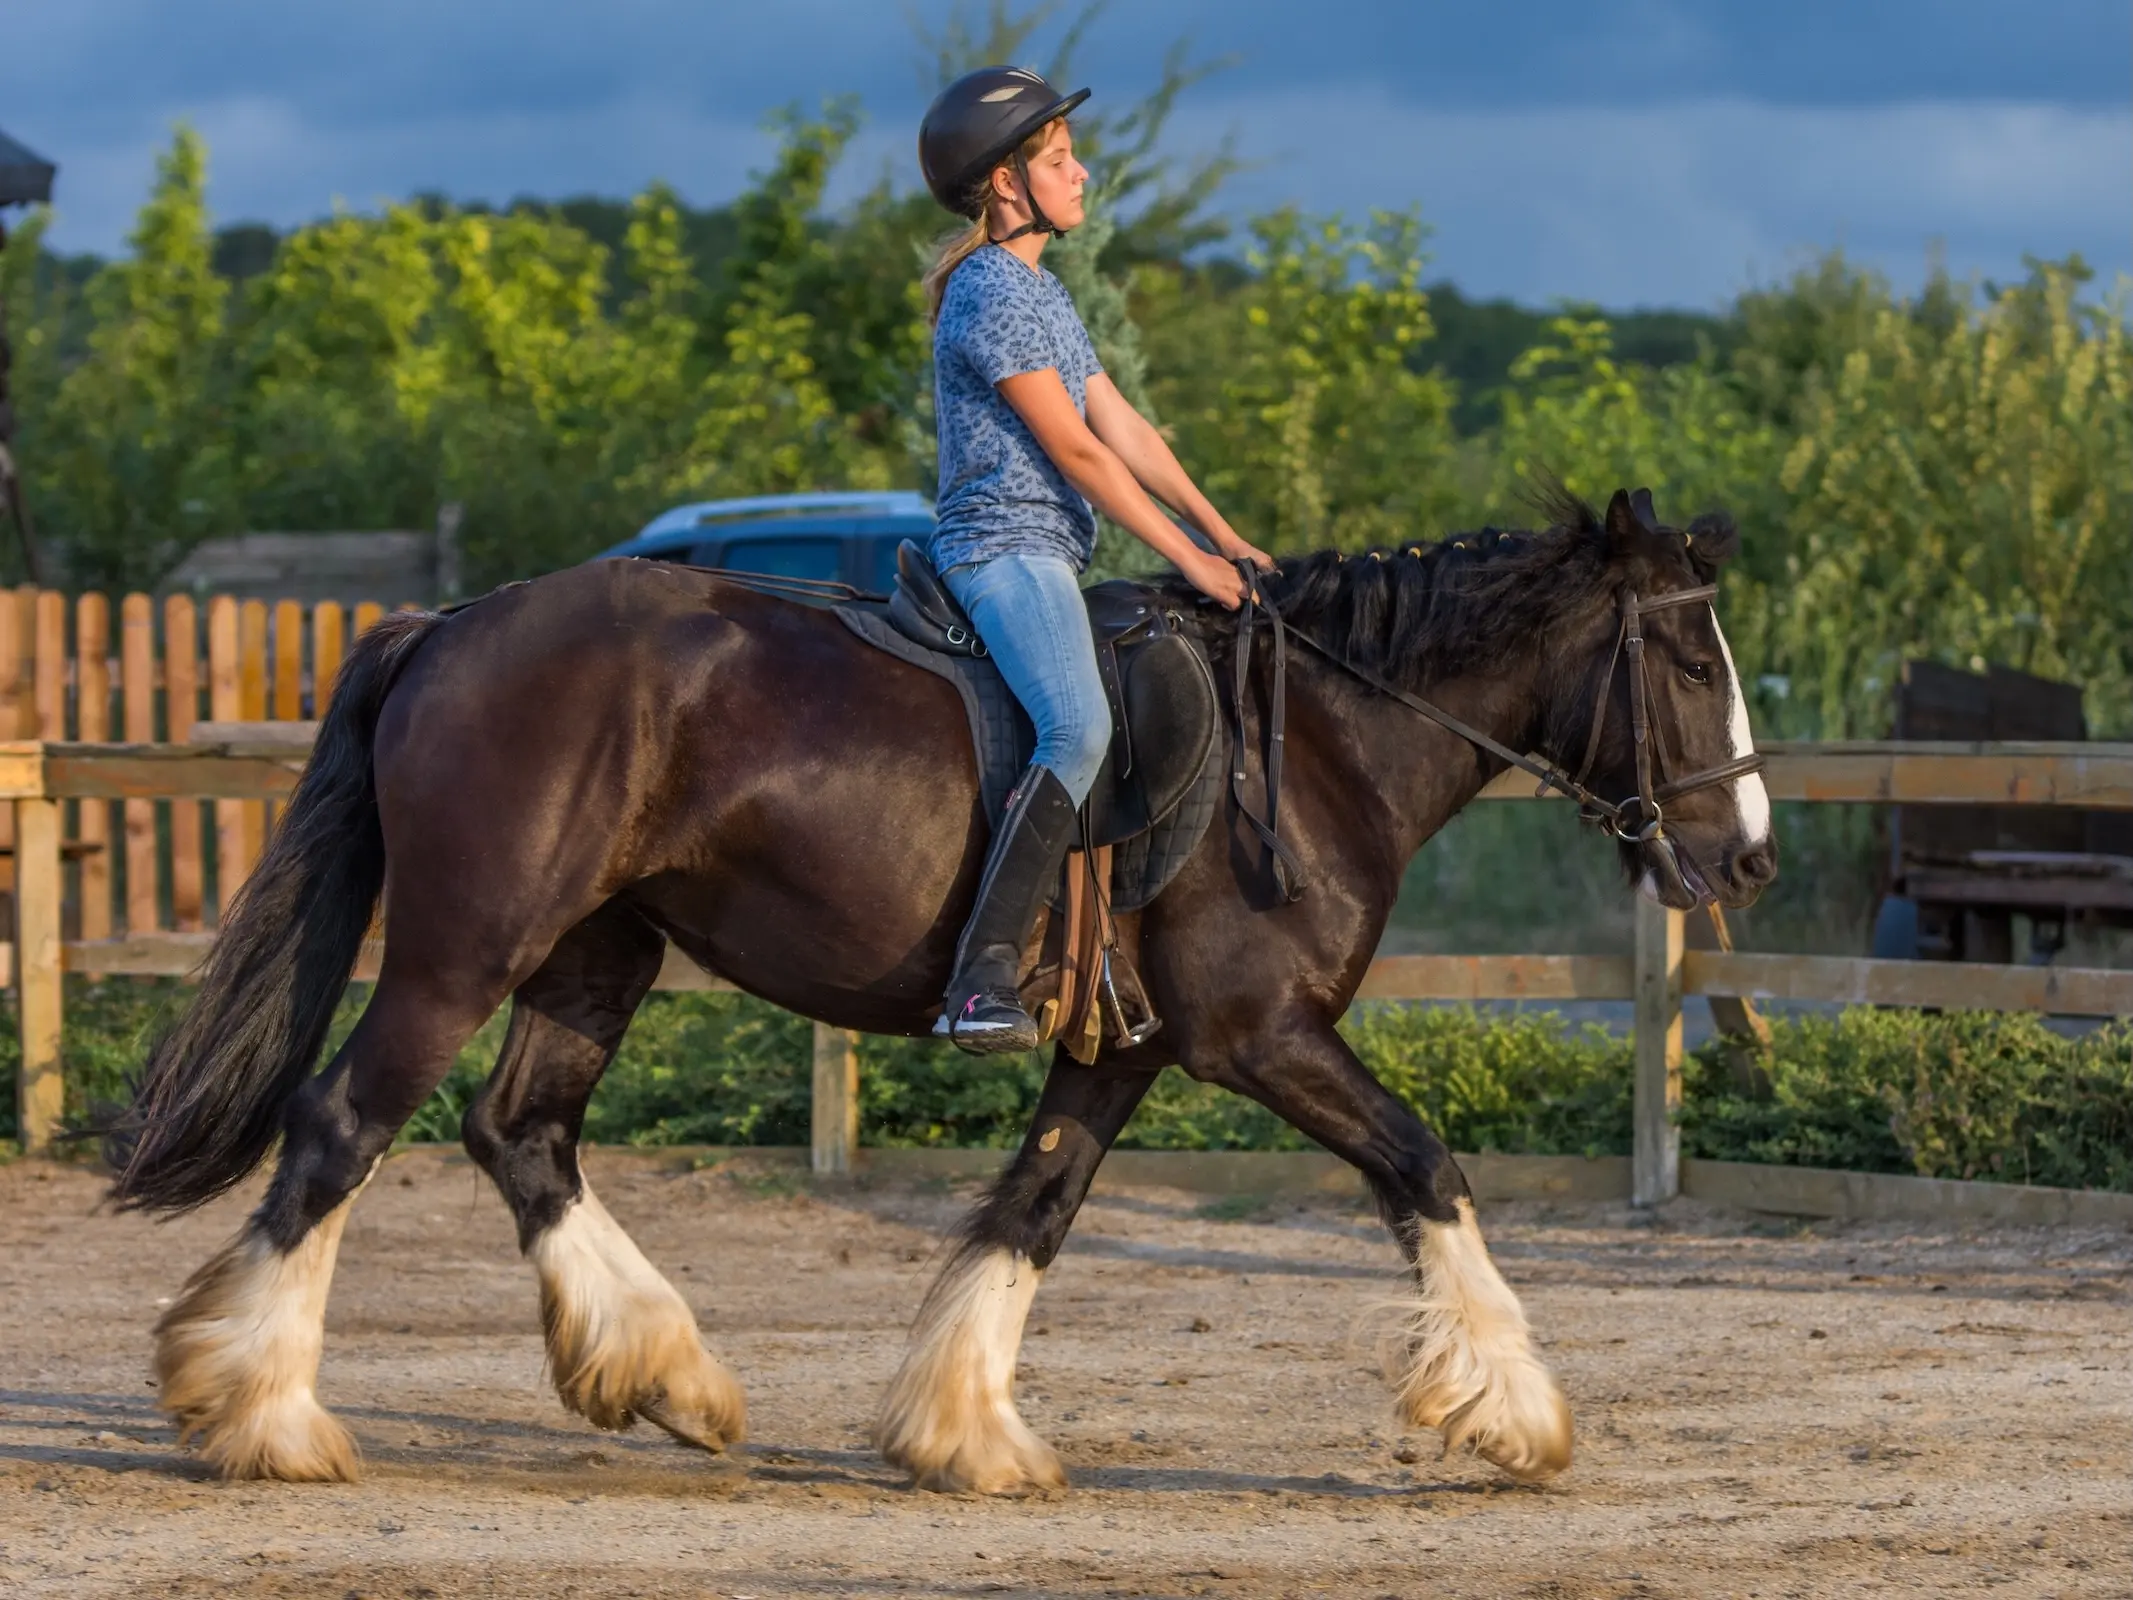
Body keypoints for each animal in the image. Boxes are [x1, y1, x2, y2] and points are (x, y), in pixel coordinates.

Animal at [105, 485, 1775, 1492]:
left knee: (521, 1135)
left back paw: (668, 1374)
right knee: (342, 1129)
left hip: (595, 953)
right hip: (469, 947)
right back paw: (262, 1414)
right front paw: (1514, 1409)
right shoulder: (1261, 1036)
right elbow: (1426, 1166)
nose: (1745, 856)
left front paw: (964, 1432)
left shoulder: (1126, 1050)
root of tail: (449, 624)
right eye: (1694, 665)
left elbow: (1031, 1209)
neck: (1313, 747)